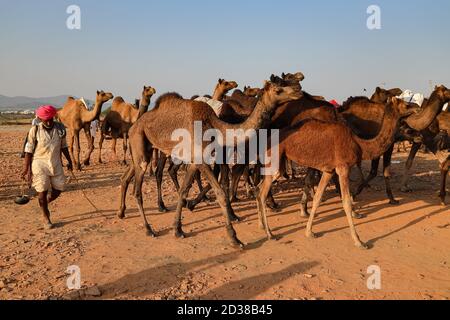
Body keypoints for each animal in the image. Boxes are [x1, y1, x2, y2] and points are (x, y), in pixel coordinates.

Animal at [119, 80, 302, 248]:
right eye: (278, 89)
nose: (298, 90)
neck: (214, 125)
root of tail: (134, 125)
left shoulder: (195, 161)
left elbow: (184, 190)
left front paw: (178, 229)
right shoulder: (202, 159)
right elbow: (220, 192)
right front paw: (234, 238)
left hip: (144, 149)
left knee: (127, 176)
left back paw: (121, 212)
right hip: (139, 142)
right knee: (137, 190)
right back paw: (148, 229)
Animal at [255, 97, 416, 248]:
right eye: (406, 104)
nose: (416, 107)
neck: (359, 145)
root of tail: (266, 140)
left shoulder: (329, 170)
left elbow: (318, 198)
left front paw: (309, 231)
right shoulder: (343, 168)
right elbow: (346, 202)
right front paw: (359, 241)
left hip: (279, 163)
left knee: (259, 188)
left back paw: (261, 225)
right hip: (275, 160)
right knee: (262, 193)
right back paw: (270, 234)